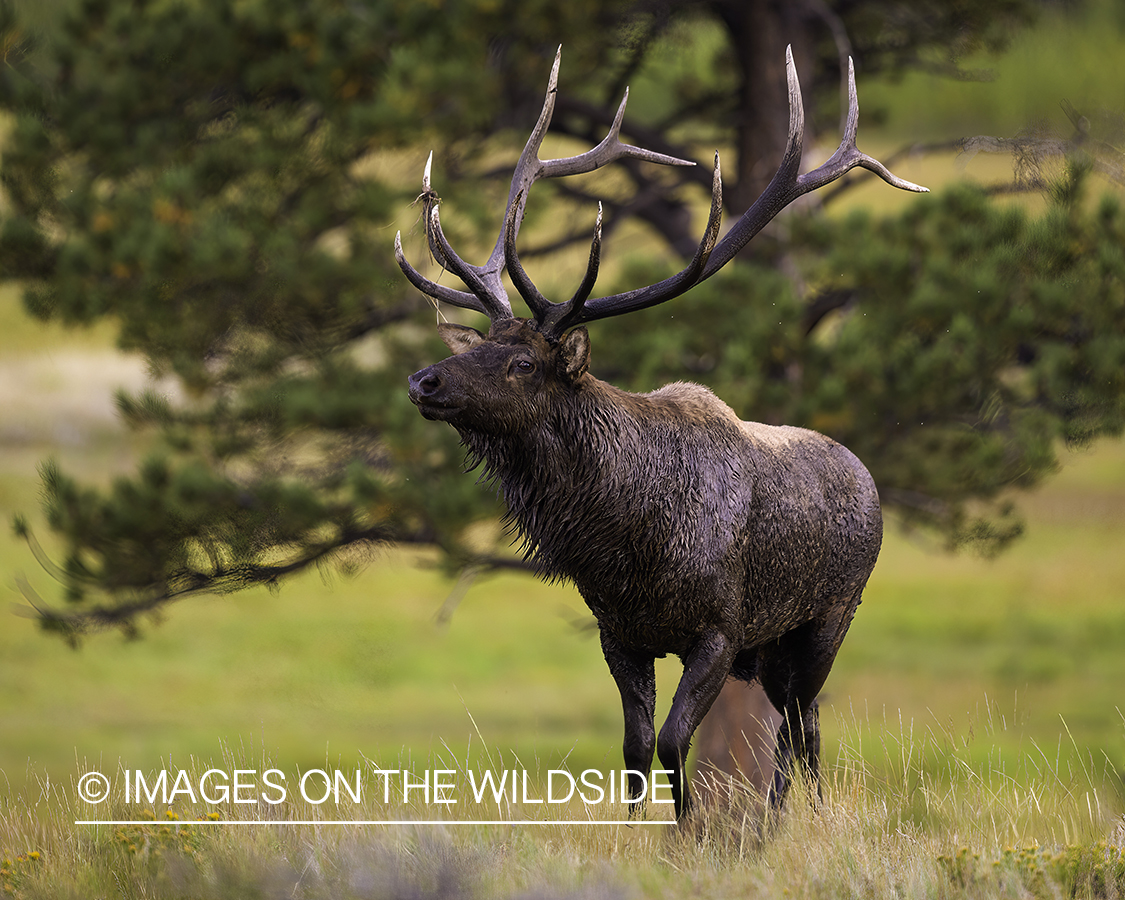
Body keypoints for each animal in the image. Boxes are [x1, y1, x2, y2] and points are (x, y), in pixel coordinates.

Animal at [396, 49, 922, 823]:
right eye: (480, 345)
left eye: (523, 363)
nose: (425, 381)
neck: (625, 542)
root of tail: (862, 472)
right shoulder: (620, 632)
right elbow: (635, 751)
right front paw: (642, 829)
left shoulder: (720, 628)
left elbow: (676, 742)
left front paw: (690, 833)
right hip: (772, 648)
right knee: (795, 725)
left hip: (826, 618)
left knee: (804, 725)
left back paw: (790, 818)